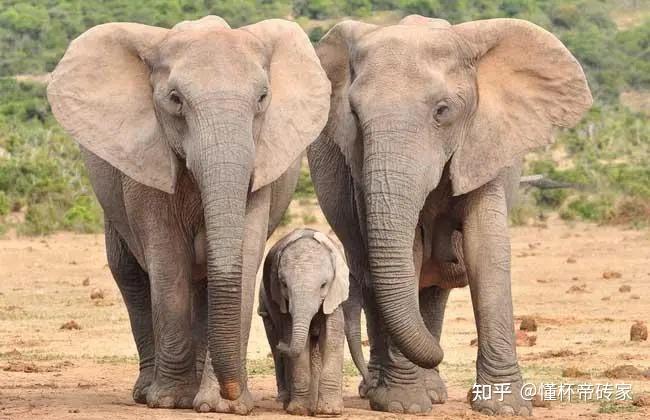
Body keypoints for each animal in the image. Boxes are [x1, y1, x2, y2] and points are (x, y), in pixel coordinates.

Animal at [46, 16, 330, 414]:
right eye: (175, 100)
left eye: (262, 98)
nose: (233, 391)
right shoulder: (147, 162)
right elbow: (167, 260)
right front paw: (171, 400)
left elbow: (244, 256)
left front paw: (224, 407)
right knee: (130, 275)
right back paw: (147, 393)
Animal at [258, 228, 349, 416]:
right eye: (284, 285)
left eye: (323, 285)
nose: (282, 345)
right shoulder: (282, 301)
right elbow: (293, 336)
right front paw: (299, 410)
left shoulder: (335, 295)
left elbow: (332, 338)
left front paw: (330, 411)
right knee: (276, 345)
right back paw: (289, 403)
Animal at [308, 14, 592, 416]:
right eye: (354, 115)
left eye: (442, 111)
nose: (439, 354)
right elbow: (407, 253)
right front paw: (405, 405)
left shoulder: (486, 145)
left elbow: (485, 251)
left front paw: (504, 408)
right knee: (376, 272)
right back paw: (385, 392)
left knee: (432, 287)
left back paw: (431, 389)